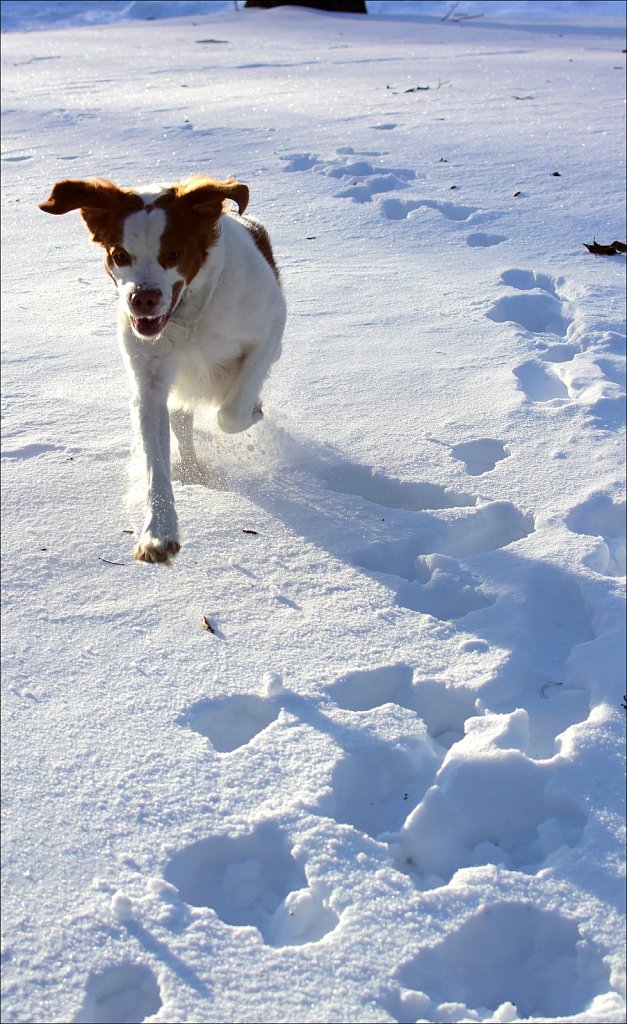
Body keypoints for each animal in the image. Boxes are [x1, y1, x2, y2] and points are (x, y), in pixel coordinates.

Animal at [38, 174, 284, 561]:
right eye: (120, 255)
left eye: (174, 254)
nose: (143, 300)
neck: (189, 314)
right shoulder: (150, 380)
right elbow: (156, 461)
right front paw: (158, 534)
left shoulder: (269, 329)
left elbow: (231, 412)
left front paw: (255, 409)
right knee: (182, 422)